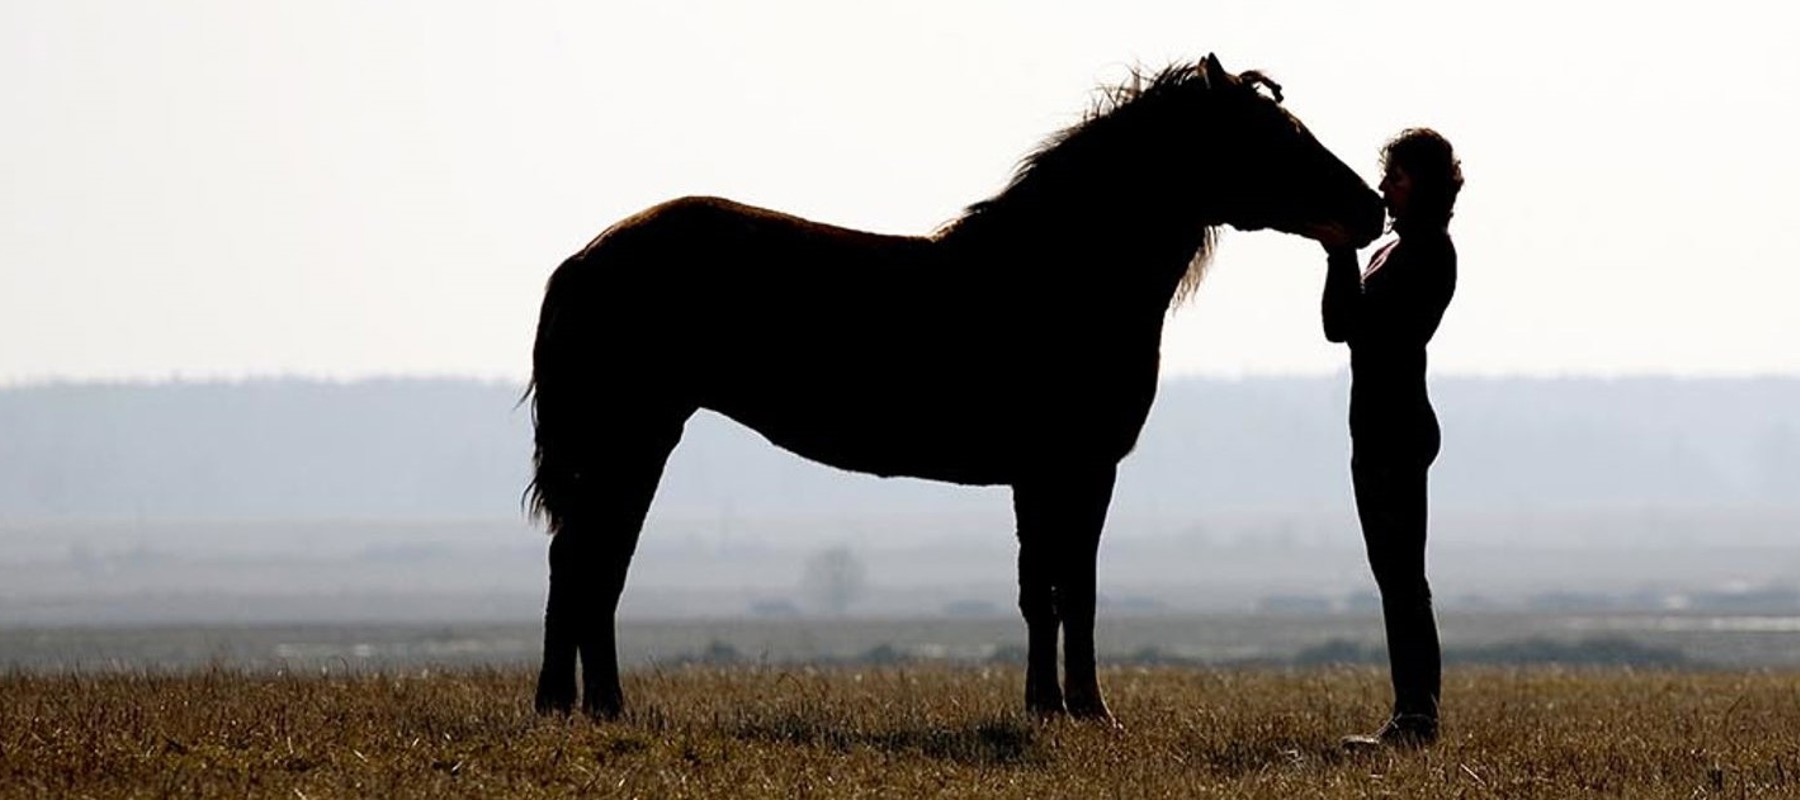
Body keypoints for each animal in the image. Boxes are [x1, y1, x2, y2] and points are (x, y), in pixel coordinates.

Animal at [526, 53, 1384, 721]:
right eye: (1279, 136)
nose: (1371, 207)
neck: (1062, 275)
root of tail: (583, 260)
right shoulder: (1079, 471)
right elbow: (1075, 589)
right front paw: (1089, 710)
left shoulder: (1039, 478)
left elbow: (1039, 590)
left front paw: (1048, 706)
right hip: (635, 440)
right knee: (588, 562)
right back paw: (585, 705)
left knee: (590, 563)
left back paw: (581, 705)